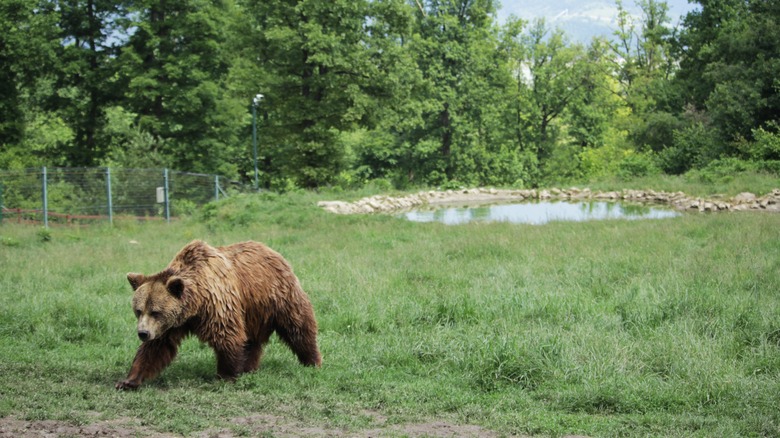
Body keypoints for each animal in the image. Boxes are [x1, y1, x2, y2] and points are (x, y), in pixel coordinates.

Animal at [115, 240, 320, 390]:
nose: (143, 333)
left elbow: (227, 336)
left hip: (279, 297)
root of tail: (272, 250)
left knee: (298, 326)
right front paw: (128, 381)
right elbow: (155, 348)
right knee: (252, 340)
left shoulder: (217, 303)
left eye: (155, 312)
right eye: (138, 310)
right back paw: (248, 367)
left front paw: (225, 375)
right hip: (253, 311)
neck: (194, 305)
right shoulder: (172, 324)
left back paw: (312, 361)